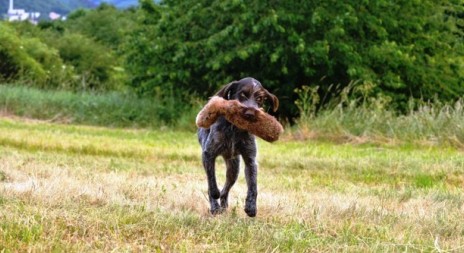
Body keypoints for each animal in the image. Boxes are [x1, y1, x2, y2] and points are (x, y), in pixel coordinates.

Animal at [197, 76, 278, 216]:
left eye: (259, 99)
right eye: (242, 94)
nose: (250, 114)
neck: (235, 128)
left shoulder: (250, 160)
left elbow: (253, 186)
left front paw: (251, 206)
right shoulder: (208, 154)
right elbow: (212, 182)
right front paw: (214, 196)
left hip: (234, 169)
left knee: (225, 190)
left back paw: (223, 206)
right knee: (213, 186)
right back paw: (215, 207)